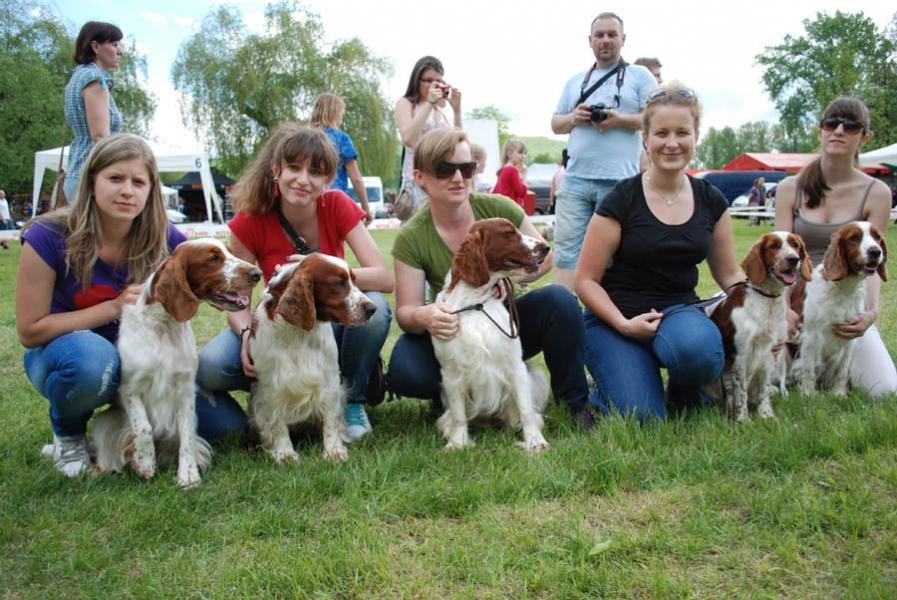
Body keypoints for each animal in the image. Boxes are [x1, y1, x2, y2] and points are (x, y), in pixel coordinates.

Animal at [96, 237, 260, 486]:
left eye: (230, 252)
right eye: (213, 258)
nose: (257, 273)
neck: (164, 325)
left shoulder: (184, 389)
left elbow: (186, 433)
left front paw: (188, 474)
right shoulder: (130, 388)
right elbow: (143, 428)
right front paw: (145, 464)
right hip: (103, 423)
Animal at [248, 253, 374, 464]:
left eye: (354, 280)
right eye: (339, 283)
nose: (373, 308)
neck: (297, 333)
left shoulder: (329, 379)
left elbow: (330, 420)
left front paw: (333, 451)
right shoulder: (271, 384)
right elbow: (277, 422)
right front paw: (285, 453)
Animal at [430, 218, 548, 452]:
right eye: (509, 233)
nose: (546, 247)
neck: (475, 303)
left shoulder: (515, 366)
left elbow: (526, 410)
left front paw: (535, 442)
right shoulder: (451, 372)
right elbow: (459, 415)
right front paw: (457, 444)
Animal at [712, 232, 816, 420]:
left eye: (795, 245)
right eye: (773, 246)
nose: (793, 259)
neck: (767, 299)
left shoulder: (769, 352)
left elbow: (764, 389)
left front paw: (766, 415)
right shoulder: (741, 355)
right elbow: (740, 391)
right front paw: (743, 419)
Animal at [796, 223, 884, 396]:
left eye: (877, 237)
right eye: (854, 238)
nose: (875, 251)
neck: (843, 288)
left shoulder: (850, 335)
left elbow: (842, 371)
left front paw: (838, 394)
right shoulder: (811, 335)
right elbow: (809, 369)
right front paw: (808, 395)